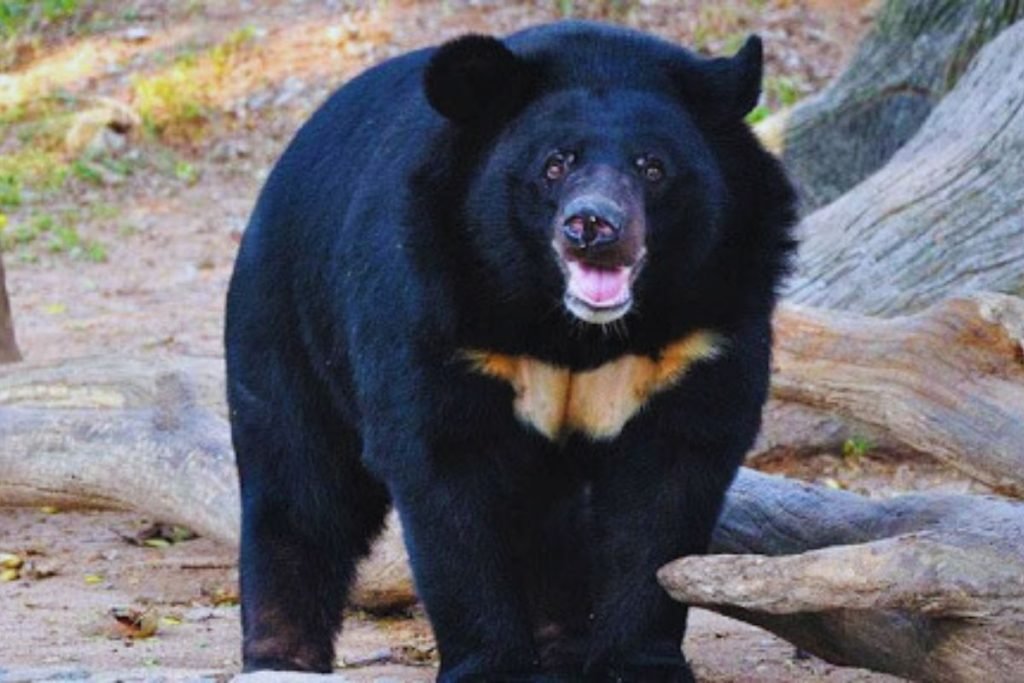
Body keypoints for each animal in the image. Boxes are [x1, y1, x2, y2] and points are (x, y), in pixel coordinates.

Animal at [225, 20, 797, 682]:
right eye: (555, 164)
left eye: (652, 167)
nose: (593, 226)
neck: (572, 330)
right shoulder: (436, 309)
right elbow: (446, 474)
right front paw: (490, 664)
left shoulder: (704, 331)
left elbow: (666, 493)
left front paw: (639, 661)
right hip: (286, 316)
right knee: (299, 480)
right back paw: (281, 656)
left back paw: (563, 647)